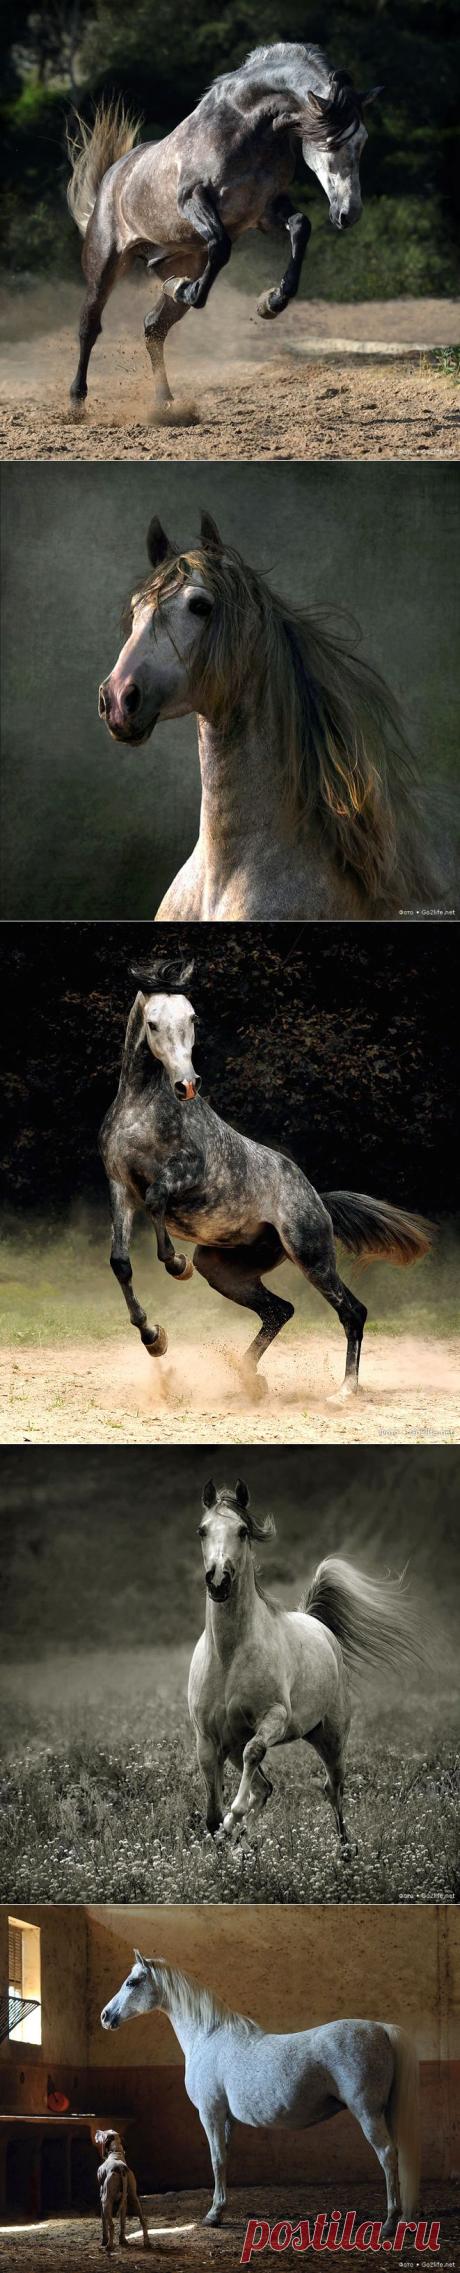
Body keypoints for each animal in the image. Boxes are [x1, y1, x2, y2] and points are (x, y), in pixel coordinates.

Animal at [66, 42, 381, 417]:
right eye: (332, 141)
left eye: (362, 141)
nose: (349, 213)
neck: (247, 128)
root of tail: (110, 181)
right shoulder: (195, 200)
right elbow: (221, 247)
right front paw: (190, 291)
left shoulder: (264, 209)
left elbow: (300, 227)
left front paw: (271, 302)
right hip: (105, 264)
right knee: (89, 326)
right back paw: (77, 401)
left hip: (176, 260)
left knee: (154, 327)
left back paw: (165, 399)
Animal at [98, 956, 431, 1396]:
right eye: (152, 1023)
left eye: (193, 1017)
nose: (188, 1084)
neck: (142, 1112)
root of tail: (318, 1200)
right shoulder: (120, 1186)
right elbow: (120, 1262)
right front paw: (154, 1338)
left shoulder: (188, 1173)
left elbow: (156, 1200)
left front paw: (176, 1265)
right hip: (225, 1270)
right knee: (280, 1310)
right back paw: (249, 1377)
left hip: (310, 1255)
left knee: (352, 1312)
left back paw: (344, 1392)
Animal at [101, 1953, 420, 2239]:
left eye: (131, 1982)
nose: (105, 2016)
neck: (207, 2037)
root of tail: (381, 2029)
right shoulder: (226, 2119)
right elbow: (225, 2158)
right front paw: (220, 2210)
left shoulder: (211, 2113)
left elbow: (216, 2160)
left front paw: (212, 2215)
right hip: (383, 2113)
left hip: (367, 2113)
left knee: (387, 2155)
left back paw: (390, 2223)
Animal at [188, 1478, 420, 1843]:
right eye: (202, 1530)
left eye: (242, 1530)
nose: (218, 1580)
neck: (228, 1656)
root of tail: (318, 1623)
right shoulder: (208, 1741)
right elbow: (212, 1818)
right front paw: (229, 1835)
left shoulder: (275, 1718)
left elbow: (253, 1756)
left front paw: (234, 1815)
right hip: (238, 1744)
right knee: (265, 1788)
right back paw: (246, 1845)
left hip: (332, 1738)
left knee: (332, 1789)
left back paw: (345, 1849)